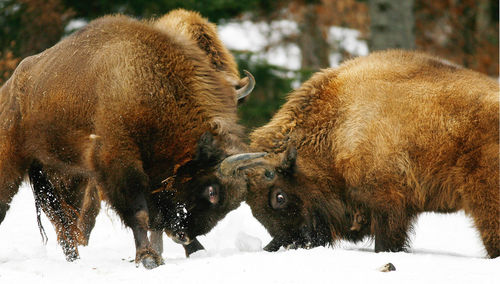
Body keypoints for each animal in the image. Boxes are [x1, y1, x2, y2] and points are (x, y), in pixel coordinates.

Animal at [0, 12, 264, 268]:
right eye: (212, 191)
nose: (184, 235)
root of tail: (12, 85)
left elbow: (155, 217)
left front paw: (163, 255)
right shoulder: (119, 163)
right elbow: (139, 213)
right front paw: (147, 258)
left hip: (61, 173)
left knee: (64, 219)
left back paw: (74, 259)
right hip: (15, 163)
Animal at [243, 50, 500, 258]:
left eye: (279, 197)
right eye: (253, 208)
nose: (294, 243)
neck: (338, 125)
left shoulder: (388, 205)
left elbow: (386, 243)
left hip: (484, 201)